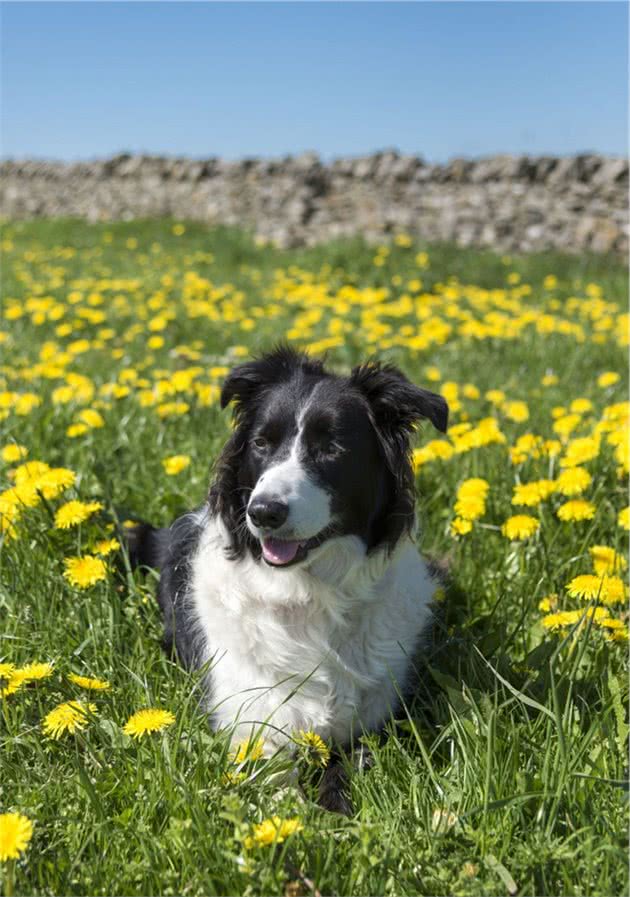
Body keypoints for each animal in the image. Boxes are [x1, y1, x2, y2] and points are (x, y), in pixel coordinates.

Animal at [131, 344, 450, 812]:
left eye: (332, 448)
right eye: (262, 443)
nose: (263, 512)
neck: (309, 593)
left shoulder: (368, 721)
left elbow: (344, 768)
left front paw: (334, 810)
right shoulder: (250, 722)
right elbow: (280, 785)